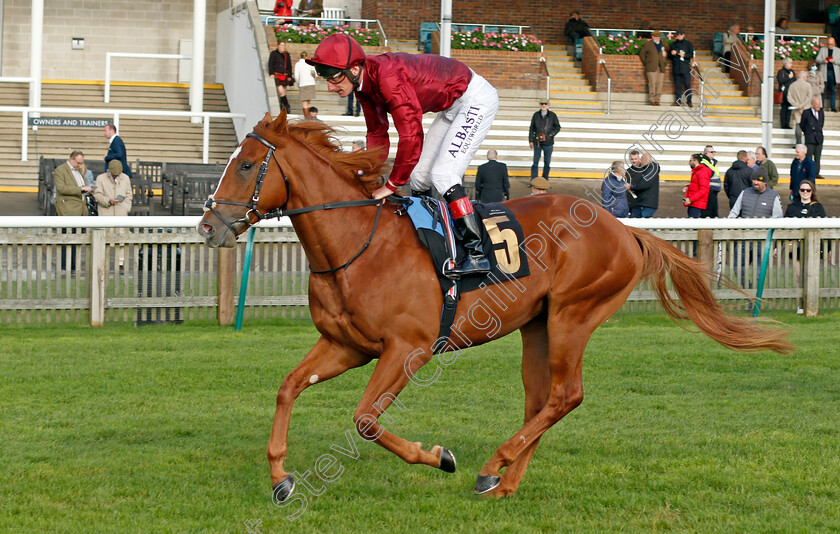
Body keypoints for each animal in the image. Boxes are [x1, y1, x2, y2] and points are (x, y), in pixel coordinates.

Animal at [199, 113, 796, 502]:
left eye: (247, 165)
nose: (208, 227)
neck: (357, 244)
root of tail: (624, 229)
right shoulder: (346, 344)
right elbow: (288, 387)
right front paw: (280, 477)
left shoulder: (408, 349)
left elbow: (366, 420)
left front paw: (438, 456)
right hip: (538, 325)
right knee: (541, 399)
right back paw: (503, 481)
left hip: (574, 314)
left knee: (566, 395)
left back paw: (492, 466)